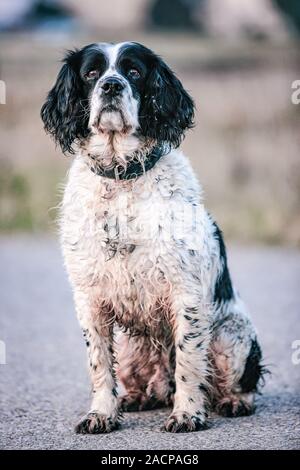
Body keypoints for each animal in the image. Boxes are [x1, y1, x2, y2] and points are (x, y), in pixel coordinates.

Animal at [41, 41, 264, 434]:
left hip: (232, 335)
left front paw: (188, 414)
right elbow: (99, 365)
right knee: (145, 382)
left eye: (133, 71)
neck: (122, 177)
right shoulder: (89, 297)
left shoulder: (185, 292)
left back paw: (234, 401)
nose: (111, 85)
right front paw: (101, 414)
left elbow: (189, 361)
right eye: (91, 73)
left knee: (235, 380)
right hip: (133, 347)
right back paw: (135, 398)